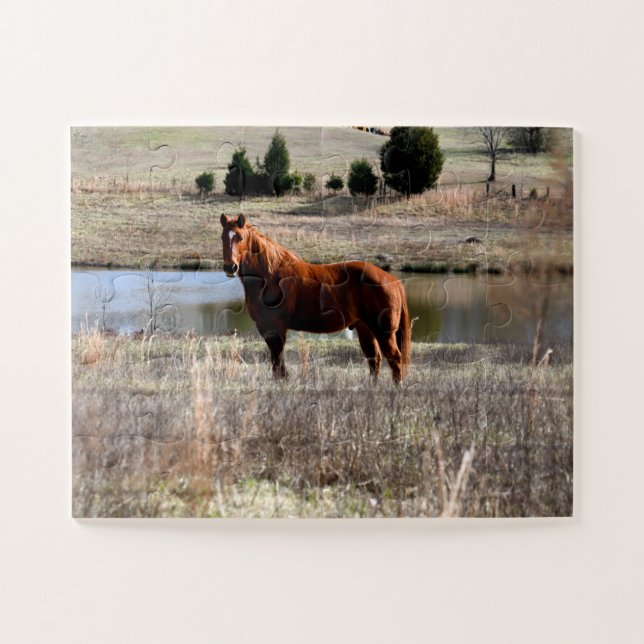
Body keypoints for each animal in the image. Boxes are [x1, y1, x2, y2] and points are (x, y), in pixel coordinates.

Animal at [220, 213, 411, 382]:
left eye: (240, 238)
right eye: (223, 237)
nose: (231, 267)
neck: (270, 275)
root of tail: (392, 280)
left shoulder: (274, 328)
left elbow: (278, 364)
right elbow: (278, 364)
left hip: (384, 332)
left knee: (395, 360)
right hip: (365, 329)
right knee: (374, 360)